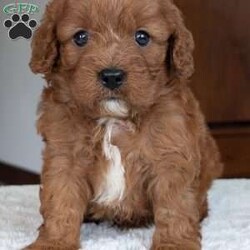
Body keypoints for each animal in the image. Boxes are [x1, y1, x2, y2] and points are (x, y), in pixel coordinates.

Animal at [26, 0, 223, 249]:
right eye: (80, 37)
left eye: (142, 37)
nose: (111, 76)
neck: (114, 119)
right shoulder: (64, 157)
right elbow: (60, 201)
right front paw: (54, 242)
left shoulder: (171, 156)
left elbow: (174, 206)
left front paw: (174, 243)